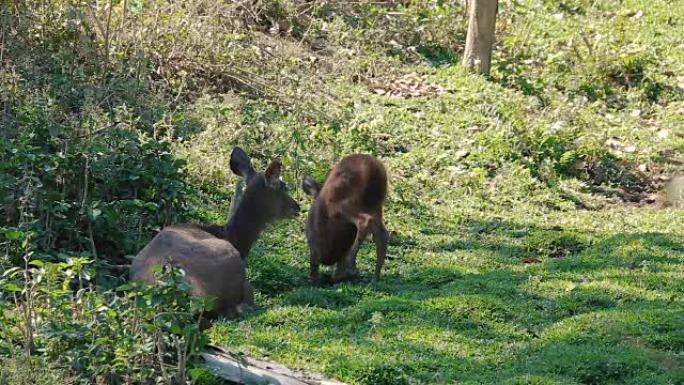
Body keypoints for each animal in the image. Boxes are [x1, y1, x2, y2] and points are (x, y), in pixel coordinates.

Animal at [302, 152, 388, 284]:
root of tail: (373, 167)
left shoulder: (315, 241)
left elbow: (314, 260)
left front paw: (316, 278)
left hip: (344, 205)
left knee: (364, 221)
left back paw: (350, 267)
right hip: (376, 206)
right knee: (382, 234)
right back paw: (374, 278)